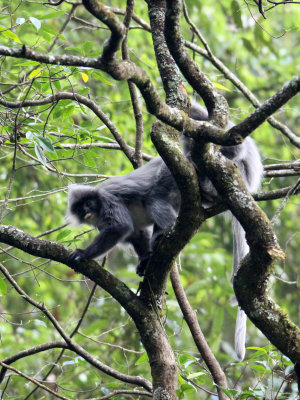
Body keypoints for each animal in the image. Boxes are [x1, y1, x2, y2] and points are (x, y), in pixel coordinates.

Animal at [67, 102, 262, 360]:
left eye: (89, 203)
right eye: (81, 208)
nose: (87, 210)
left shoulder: (108, 200)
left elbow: (121, 226)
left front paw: (83, 254)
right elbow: (135, 233)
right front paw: (144, 260)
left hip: (182, 174)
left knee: (155, 198)